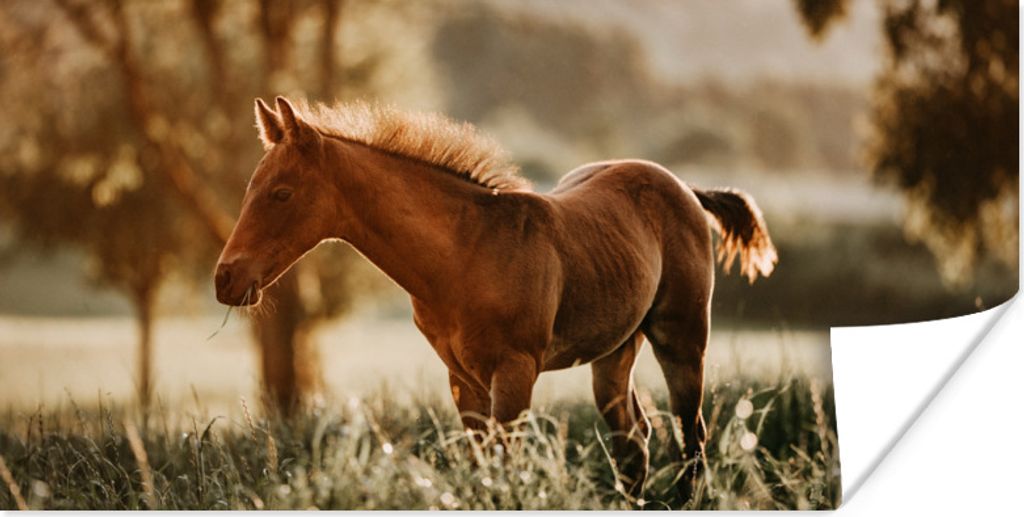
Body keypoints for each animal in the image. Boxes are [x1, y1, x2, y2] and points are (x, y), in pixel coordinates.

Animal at [214, 96, 777, 501]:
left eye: (281, 193)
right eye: (249, 189)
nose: (225, 279)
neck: (466, 253)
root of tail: (684, 186)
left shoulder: (514, 371)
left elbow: (508, 469)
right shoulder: (462, 378)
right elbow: (482, 469)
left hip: (681, 338)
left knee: (691, 436)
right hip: (615, 349)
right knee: (633, 441)